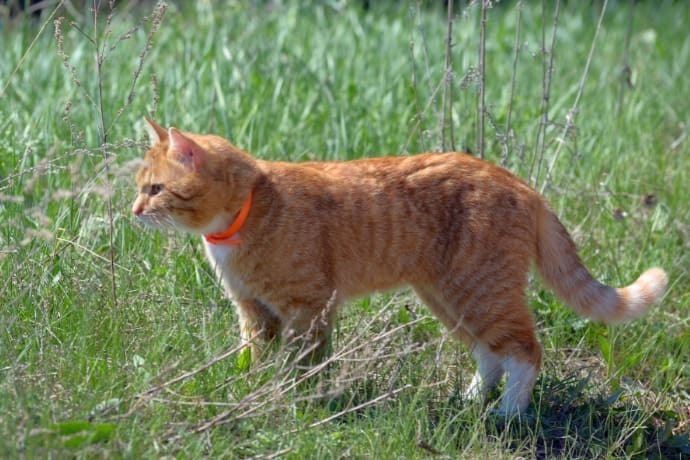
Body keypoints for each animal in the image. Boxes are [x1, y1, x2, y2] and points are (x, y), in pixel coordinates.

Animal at [132, 119, 664, 416]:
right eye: (140, 187)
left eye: (155, 189)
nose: (133, 211)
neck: (249, 211)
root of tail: (519, 182)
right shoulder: (254, 313)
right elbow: (253, 360)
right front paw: (250, 391)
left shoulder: (308, 308)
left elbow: (305, 365)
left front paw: (296, 402)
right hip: (451, 298)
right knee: (490, 353)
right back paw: (470, 402)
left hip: (479, 291)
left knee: (526, 352)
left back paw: (508, 414)